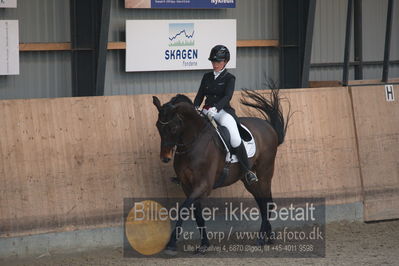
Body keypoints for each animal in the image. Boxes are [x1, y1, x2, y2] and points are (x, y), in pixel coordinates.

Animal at [152, 86, 290, 255]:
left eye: (173, 127)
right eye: (158, 126)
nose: (164, 158)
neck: (194, 142)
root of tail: (268, 126)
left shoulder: (203, 185)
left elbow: (184, 209)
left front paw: (171, 244)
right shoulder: (187, 186)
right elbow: (198, 215)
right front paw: (204, 244)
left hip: (265, 172)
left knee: (267, 202)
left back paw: (261, 238)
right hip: (247, 179)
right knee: (262, 202)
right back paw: (268, 236)